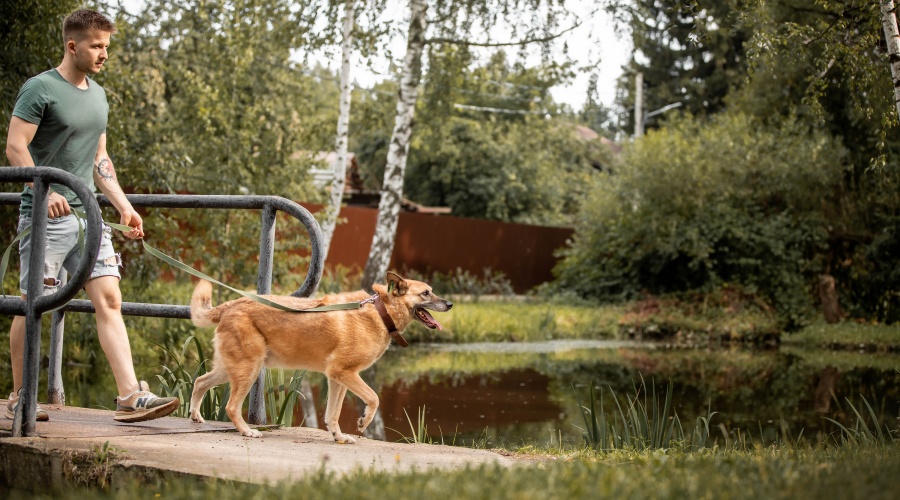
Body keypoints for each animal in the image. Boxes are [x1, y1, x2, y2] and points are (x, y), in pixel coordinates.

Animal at [188, 271, 452, 443]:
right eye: (426, 293)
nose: (450, 304)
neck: (380, 312)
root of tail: (230, 305)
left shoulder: (337, 378)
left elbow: (332, 414)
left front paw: (338, 436)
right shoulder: (345, 373)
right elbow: (374, 398)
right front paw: (363, 422)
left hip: (231, 369)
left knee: (200, 381)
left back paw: (196, 416)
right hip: (248, 370)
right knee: (231, 406)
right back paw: (247, 431)